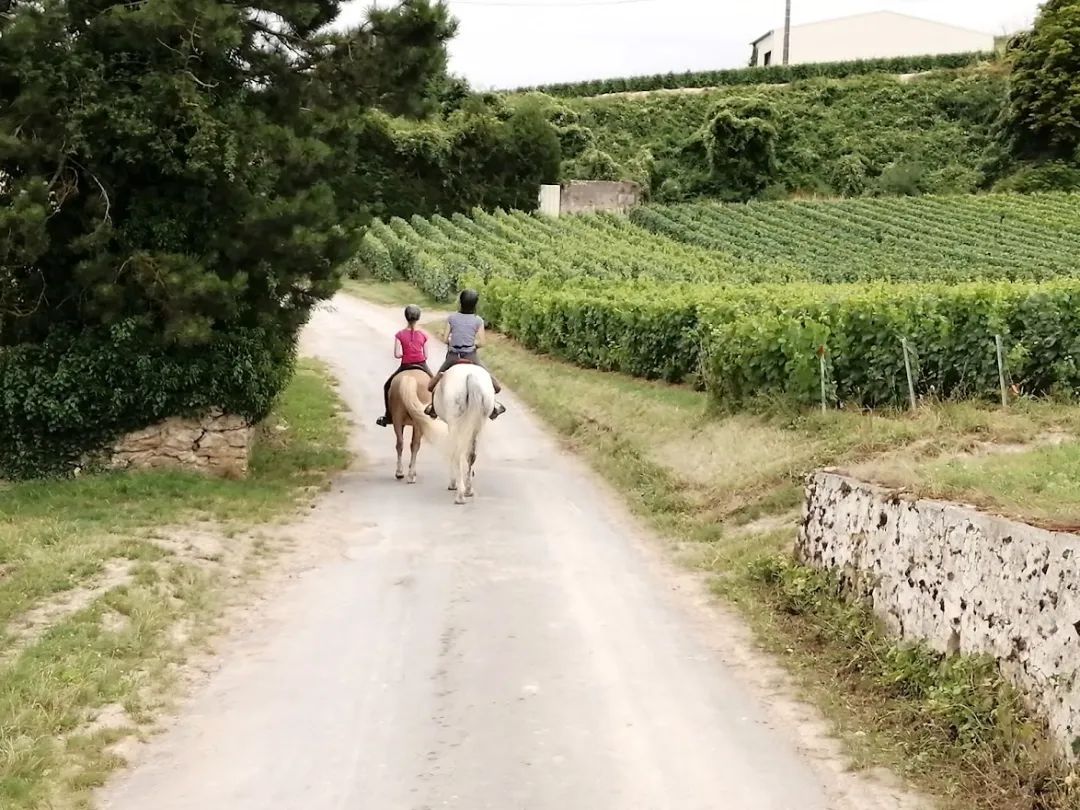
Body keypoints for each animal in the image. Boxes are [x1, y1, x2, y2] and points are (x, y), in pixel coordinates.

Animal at [432, 362, 494, 505]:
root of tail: (471, 377)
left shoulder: (451, 425)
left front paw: (452, 483)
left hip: (455, 422)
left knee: (457, 455)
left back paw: (459, 495)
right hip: (479, 424)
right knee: (471, 455)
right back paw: (468, 490)